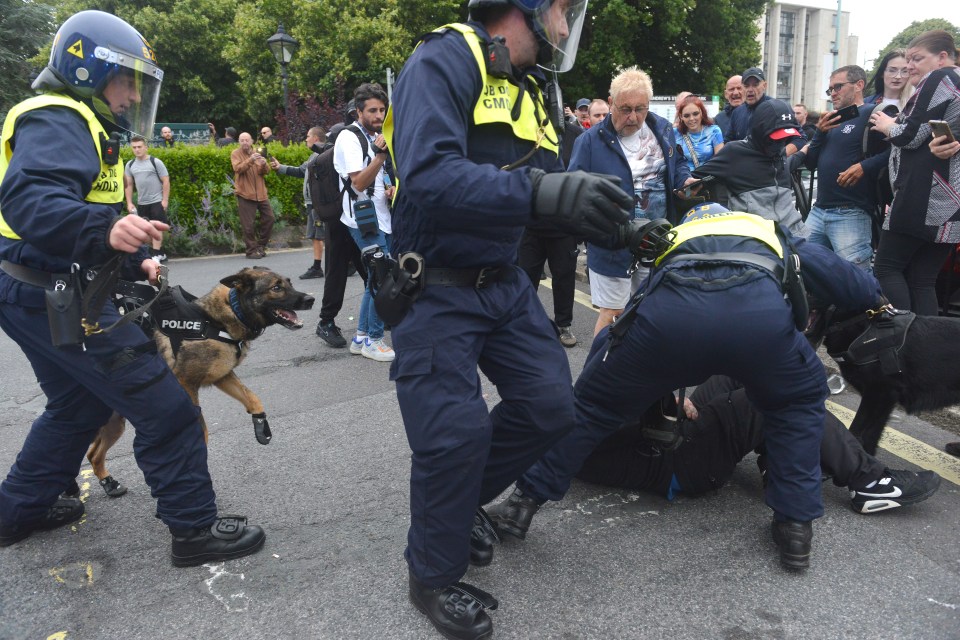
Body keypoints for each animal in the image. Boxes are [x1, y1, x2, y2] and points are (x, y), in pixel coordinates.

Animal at [86, 264, 316, 496]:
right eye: (276, 287)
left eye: (289, 283)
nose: (310, 299)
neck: (221, 317)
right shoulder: (187, 384)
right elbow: (201, 428)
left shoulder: (223, 377)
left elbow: (253, 398)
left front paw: (261, 426)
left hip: (115, 423)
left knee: (93, 454)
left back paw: (109, 483)